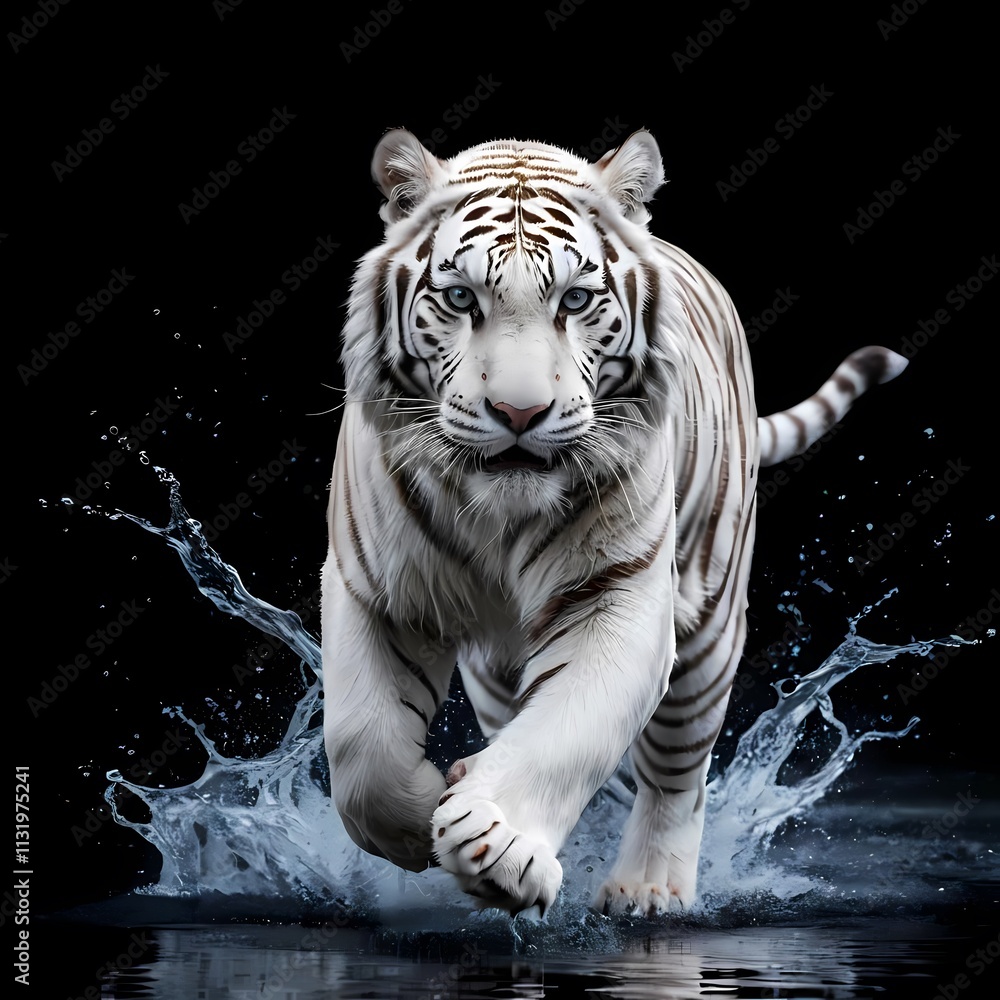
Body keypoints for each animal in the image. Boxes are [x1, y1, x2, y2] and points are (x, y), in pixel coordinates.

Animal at [320, 127, 907, 918]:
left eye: (575, 299)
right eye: (459, 297)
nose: (519, 413)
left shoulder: (621, 596)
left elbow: (573, 727)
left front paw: (496, 846)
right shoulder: (375, 588)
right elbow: (362, 745)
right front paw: (421, 815)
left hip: (710, 633)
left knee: (676, 778)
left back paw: (649, 887)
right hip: (498, 672)